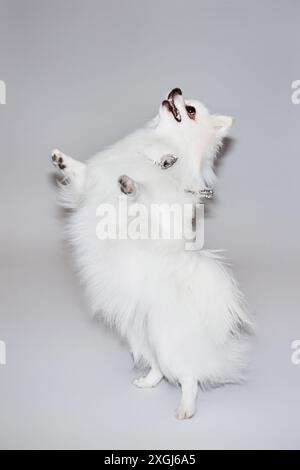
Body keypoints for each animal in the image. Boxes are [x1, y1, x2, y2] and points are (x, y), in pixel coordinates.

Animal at [51, 88, 251, 418]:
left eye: (191, 110)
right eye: (182, 97)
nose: (175, 90)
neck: (156, 150)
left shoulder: (158, 216)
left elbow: (144, 194)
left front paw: (132, 184)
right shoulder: (91, 182)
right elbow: (83, 173)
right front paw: (62, 160)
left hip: (167, 341)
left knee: (188, 376)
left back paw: (186, 407)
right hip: (142, 336)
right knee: (157, 367)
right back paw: (147, 382)